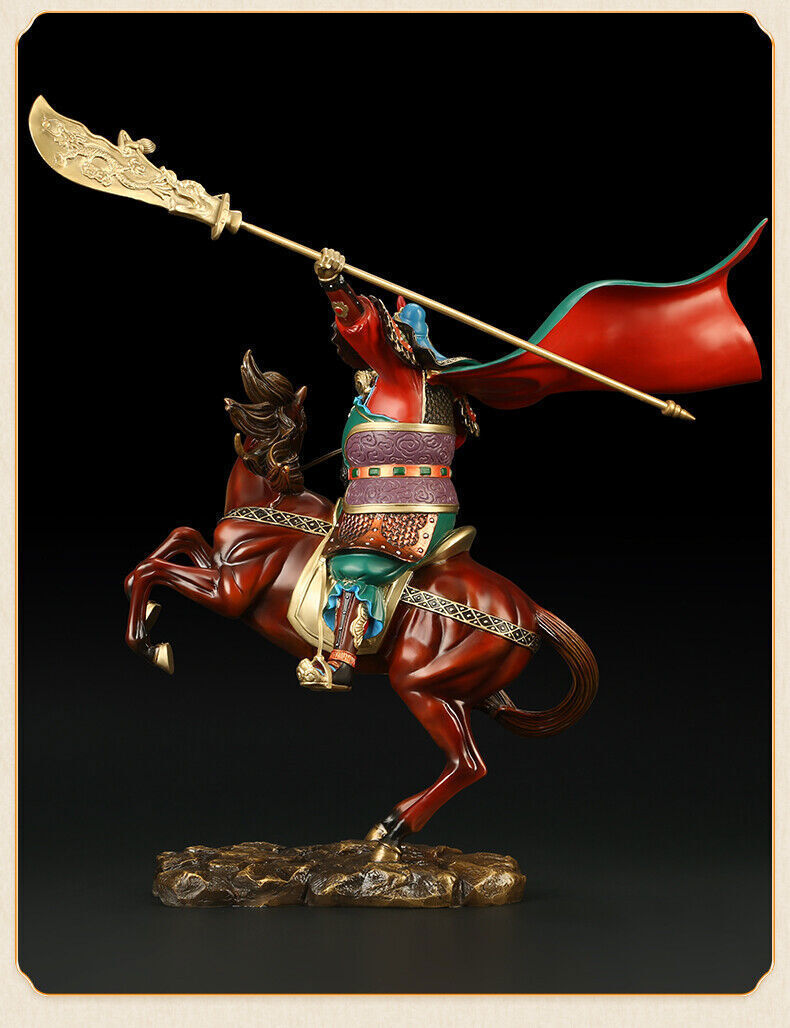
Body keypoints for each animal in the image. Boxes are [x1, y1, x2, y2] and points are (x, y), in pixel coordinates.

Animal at [124, 355, 598, 854]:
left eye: (294, 429)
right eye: (277, 424)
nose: (286, 475)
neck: (270, 504)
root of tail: (528, 611)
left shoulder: (226, 594)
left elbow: (150, 570)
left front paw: (150, 646)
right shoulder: (217, 567)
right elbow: (176, 540)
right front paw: (152, 618)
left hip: (419, 686)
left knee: (467, 763)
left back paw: (391, 826)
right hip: (453, 694)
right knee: (466, 760)